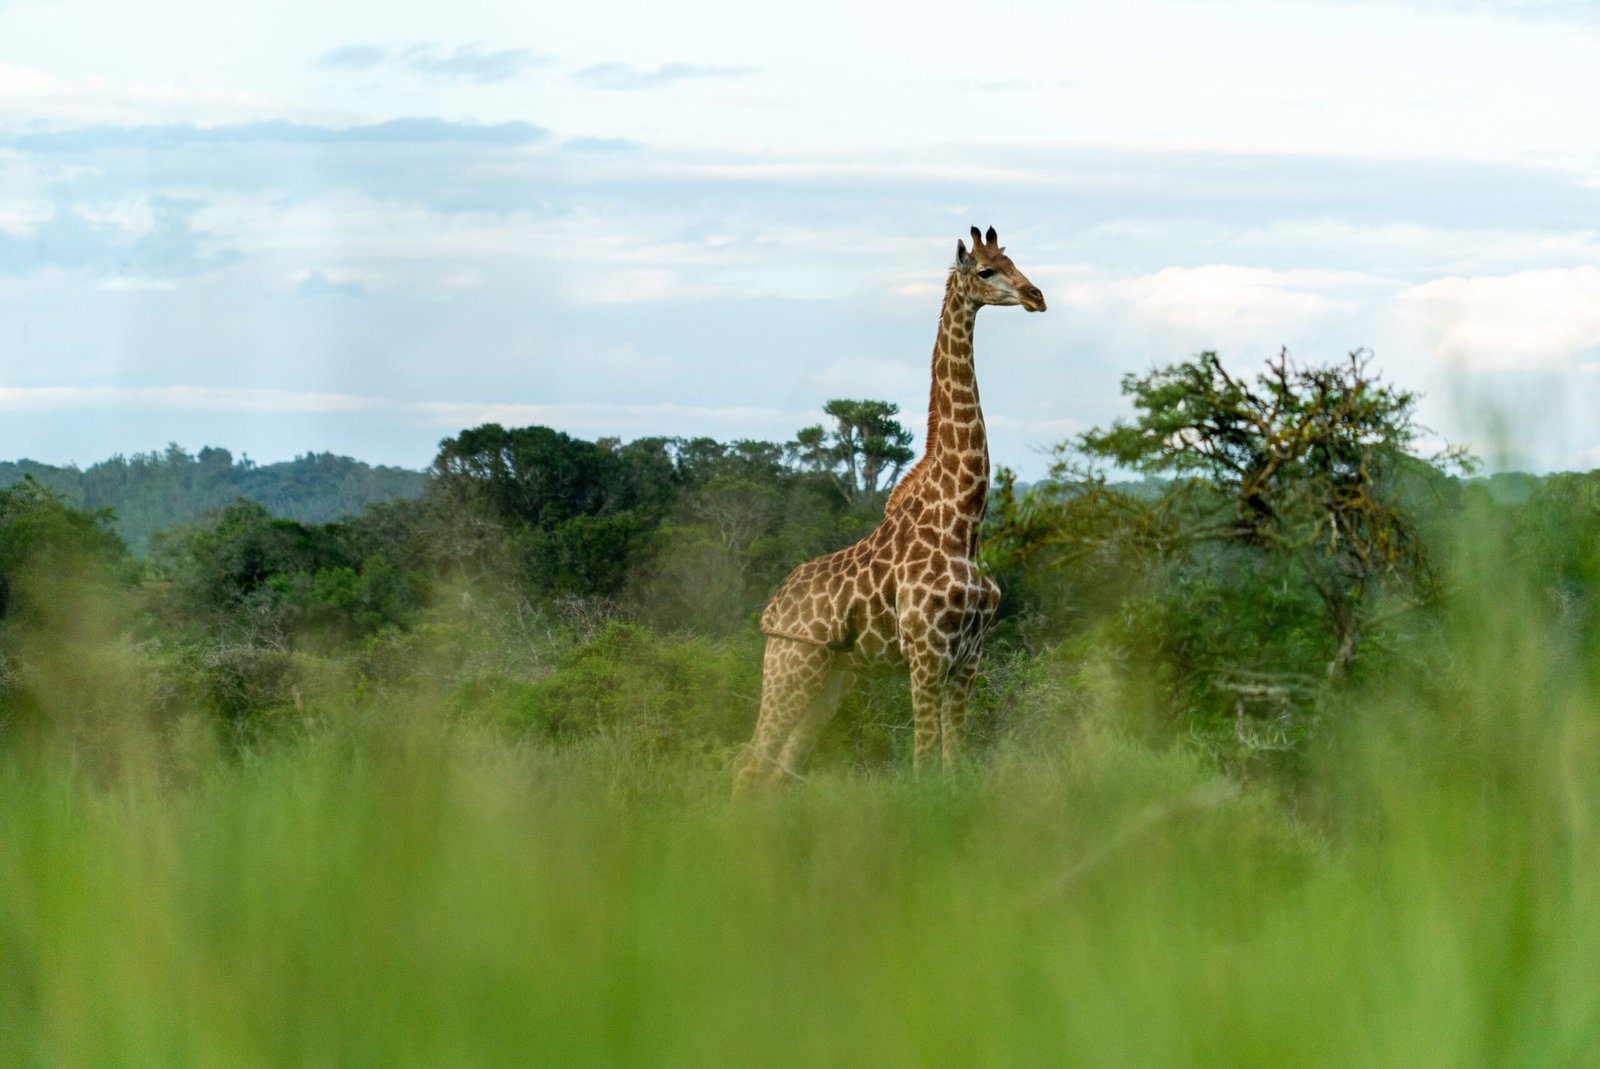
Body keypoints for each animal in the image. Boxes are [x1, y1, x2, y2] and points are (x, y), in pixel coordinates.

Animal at [733, 226, 1046, 795]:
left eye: (1014, 261)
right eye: (986, 270)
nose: (1037, 296)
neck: (962, 521)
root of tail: (773, 607)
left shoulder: (968, 657)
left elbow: (954, 762)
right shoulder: (926, 653)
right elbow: (923, 764)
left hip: (831, 678)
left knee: (778, 767)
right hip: (792, 663)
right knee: (748, 762)